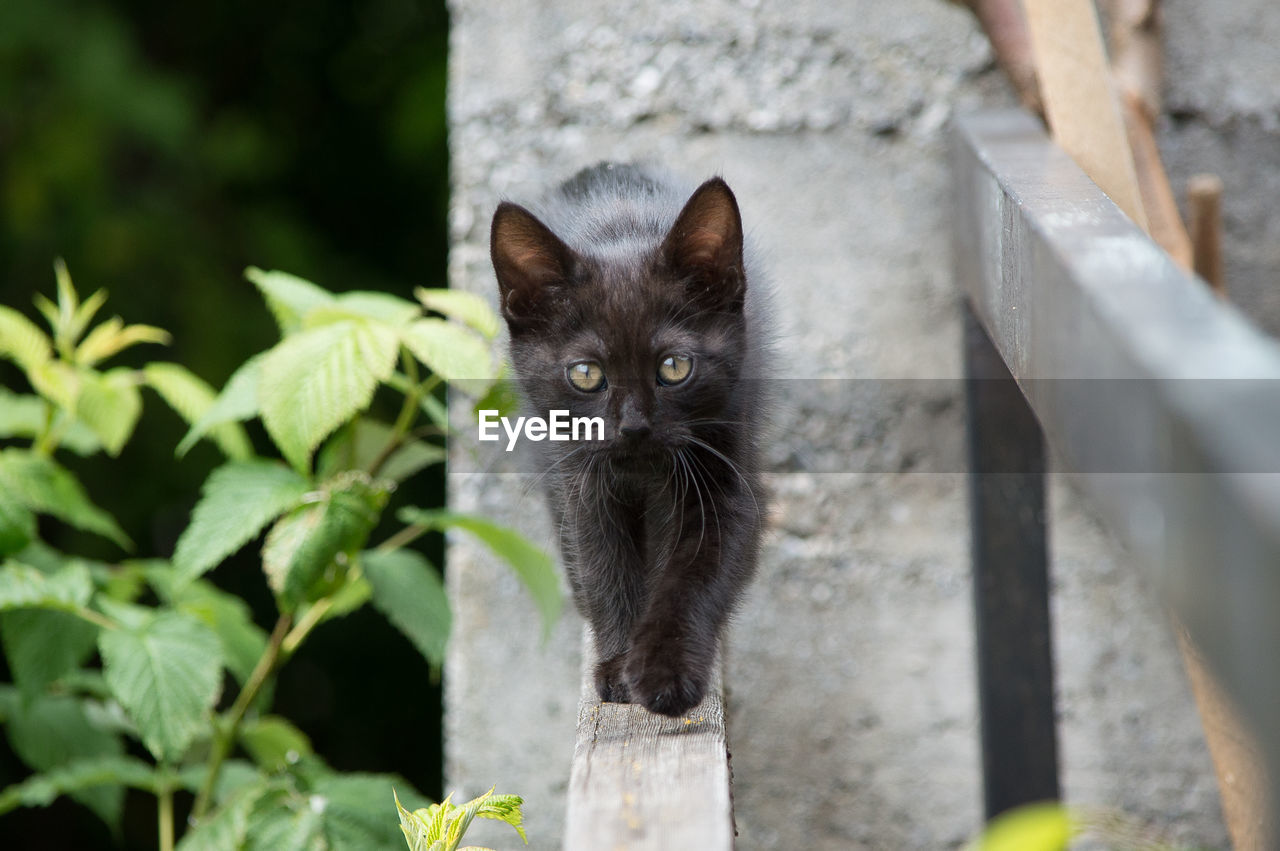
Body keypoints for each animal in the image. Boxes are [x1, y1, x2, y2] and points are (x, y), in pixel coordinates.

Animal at [488, 161, 768, 716]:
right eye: (586, 374)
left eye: (674, 367)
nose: (633, 426)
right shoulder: (580, 480)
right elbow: (604, 564)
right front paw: (618, 666)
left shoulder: (725, 468)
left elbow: (695, 573)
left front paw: (665, 673)